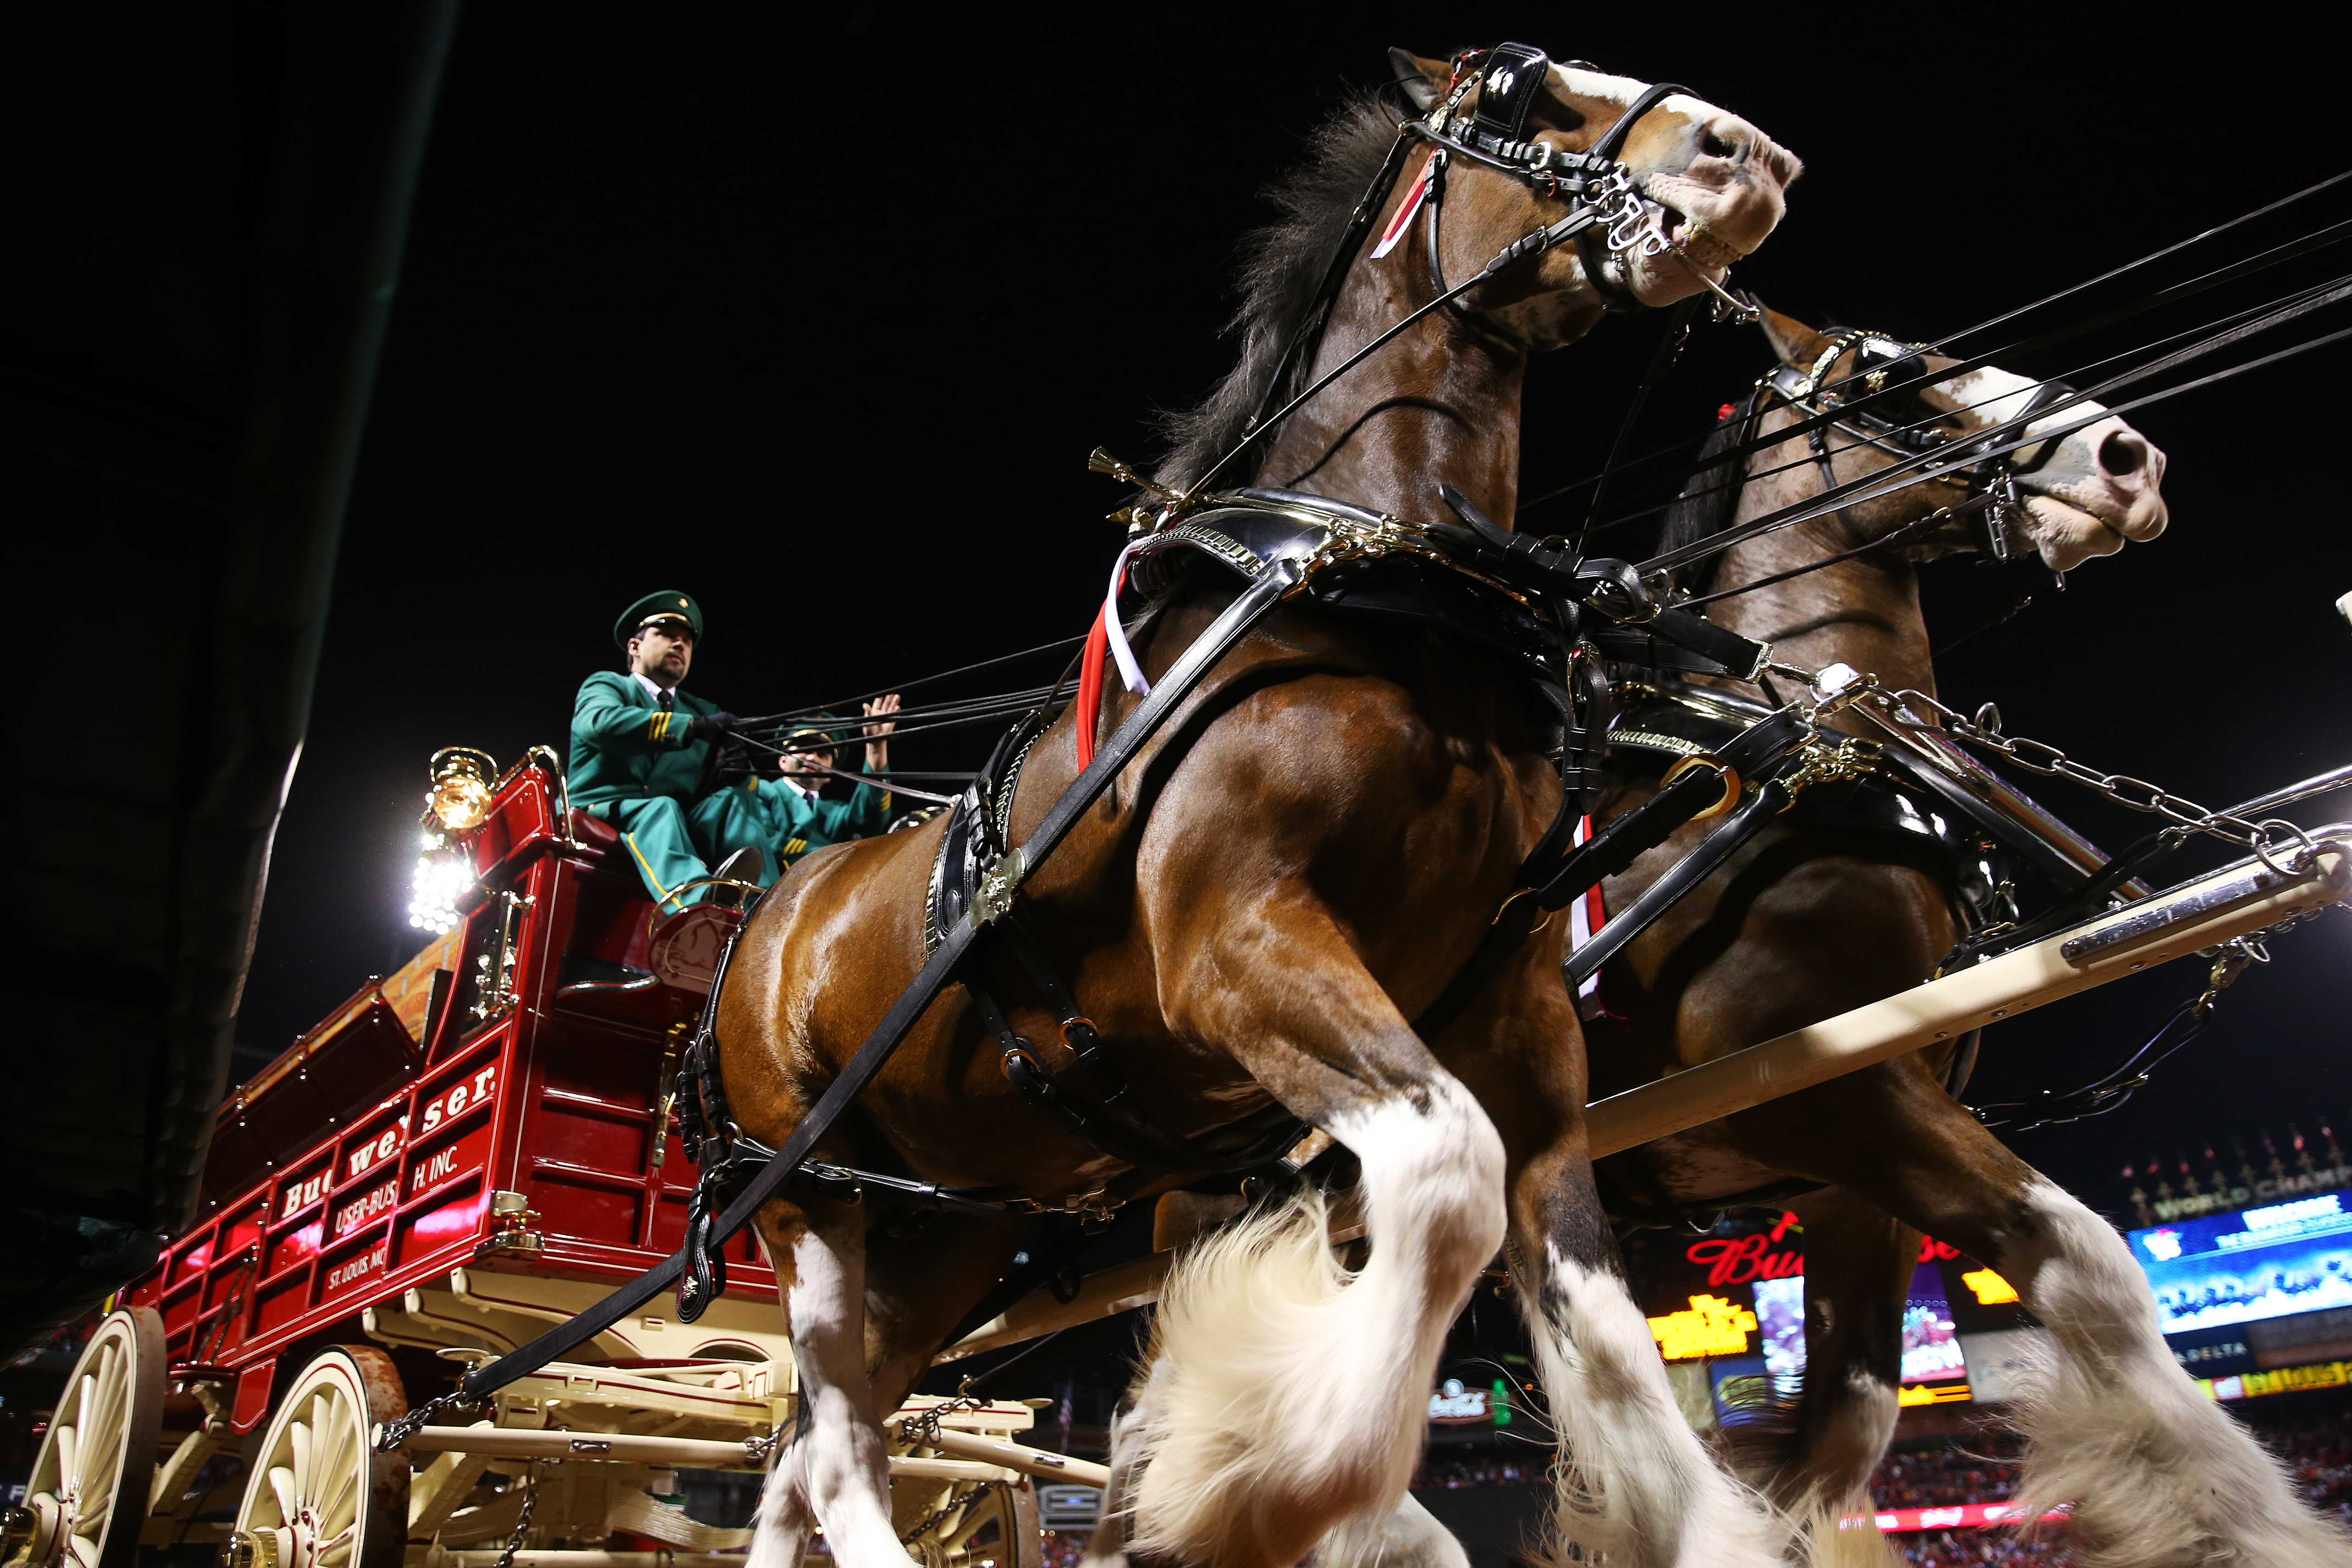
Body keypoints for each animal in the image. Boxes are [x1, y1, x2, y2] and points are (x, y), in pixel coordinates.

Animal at [720, 49, 1797, 1568]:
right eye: (1521, 89)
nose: (1745, 155)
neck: (1377, 595)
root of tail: (771, 918)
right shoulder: (1240, 948)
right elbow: (1444, 1178)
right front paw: (1283, 1475)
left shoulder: (1514, 1013)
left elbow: (1603, 1332)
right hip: (806, 1199)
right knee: (829, 1438)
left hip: (950, 1225)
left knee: (814, 1439)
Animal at [1590, 312, 2342, 1561]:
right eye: (1893, 371)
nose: (2129, 458)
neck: (1810, 757)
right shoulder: (1821, 1090)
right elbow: (2091, 1267)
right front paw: (2248, 1522)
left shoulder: (1849, 1169)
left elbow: (1844, 1425)